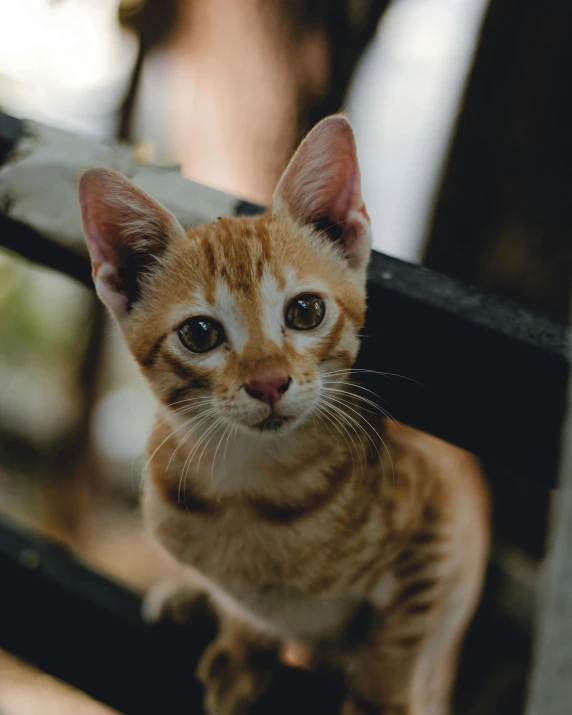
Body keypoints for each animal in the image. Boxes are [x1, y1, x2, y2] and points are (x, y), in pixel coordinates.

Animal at [78, 117, 490, 715]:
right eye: (199, 334)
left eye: (306, 311)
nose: (269, 382)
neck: (251, 486)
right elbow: (246, 609)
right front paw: (245, 648)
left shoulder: (443, 527)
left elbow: (400, 642)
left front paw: (380, 698)